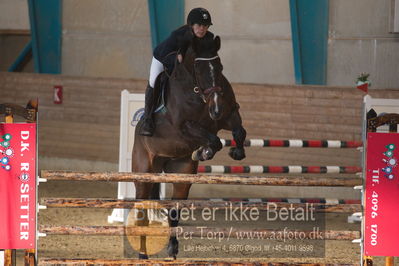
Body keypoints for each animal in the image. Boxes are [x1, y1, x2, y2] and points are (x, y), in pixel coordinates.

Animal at [131, 34, 247, 258]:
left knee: (174, 212)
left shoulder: (226, 116)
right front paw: (204, 152)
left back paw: (172, 249)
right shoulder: (184, 127)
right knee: (142, 213)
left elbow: (238, 131)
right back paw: (142, 254)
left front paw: (234, 151)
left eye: (220, 67)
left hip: (180, 174)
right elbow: (213, 140)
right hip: (144, 173)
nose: (215, 109)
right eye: (199, 70)